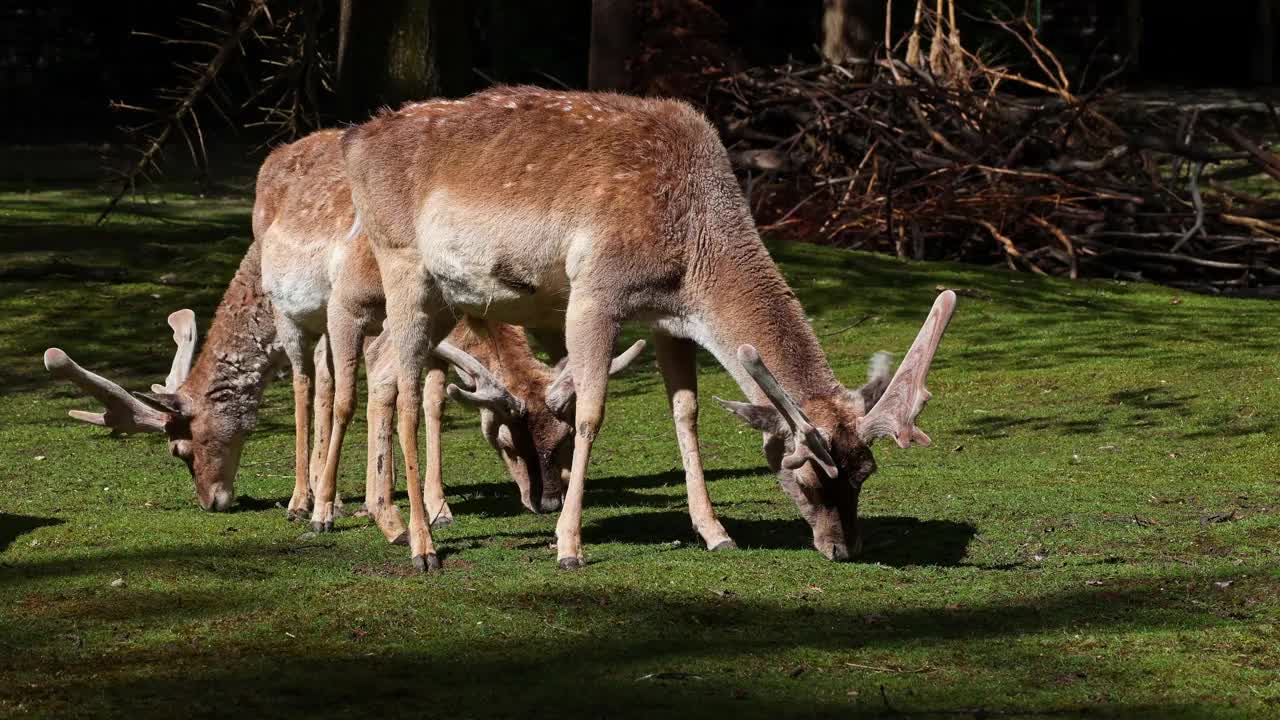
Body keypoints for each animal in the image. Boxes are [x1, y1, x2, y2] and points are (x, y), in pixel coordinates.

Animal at [45, 130, 640, 561]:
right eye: (509, 443)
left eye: (562, 440)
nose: (213, 502)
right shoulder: (341, 314)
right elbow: (349, 395)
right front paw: (333, 505)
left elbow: (421, 397)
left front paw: (428, 505)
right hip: (306, 317)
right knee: (310, 386)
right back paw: (303, 497)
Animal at [343, 83, 962, 568]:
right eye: (808, 476)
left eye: (866, 474)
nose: (843, 548)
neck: (693, 251)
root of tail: (355, 140)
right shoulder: (594, 292)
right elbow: (590, 412)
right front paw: (569, 545)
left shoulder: (670, 320)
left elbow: (686, 413)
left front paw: (715, 533)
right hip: (402, 265)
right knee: (408, 386)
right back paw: (422, 543)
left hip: (452, 296)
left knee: (384, 366)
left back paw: (386, 519)